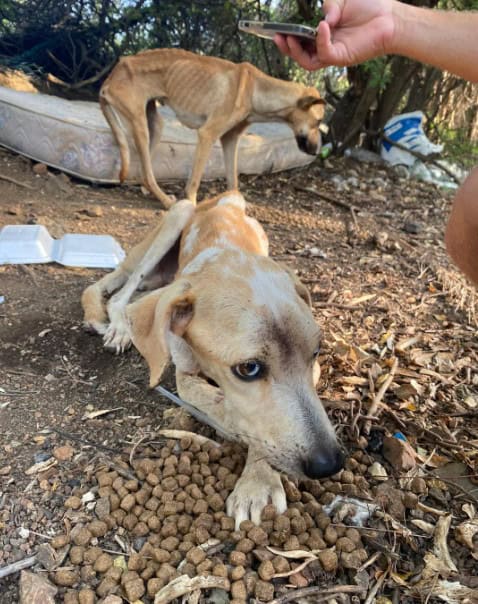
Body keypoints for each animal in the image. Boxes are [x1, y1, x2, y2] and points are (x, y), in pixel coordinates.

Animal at [81, 191, 343, 526]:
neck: (227, 254)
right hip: (174, 219)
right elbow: (217, 402)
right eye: (248, 368)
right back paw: (119, 328)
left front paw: (256, 482)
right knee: (119, 295)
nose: (330, 464)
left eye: (316, 351)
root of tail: (227, 198)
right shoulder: (183, 371)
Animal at [100, 48, 325, 207]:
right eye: (317, 122)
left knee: (142, 172)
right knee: (146, 174)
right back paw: (165, 201)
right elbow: (195, 181)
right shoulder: (207, 134)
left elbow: (233, 181)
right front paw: (190, 204)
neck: (256, 89)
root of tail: (111, 75)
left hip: (155, 125)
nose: (316, 152)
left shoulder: (230, 140)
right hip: (139, 125)